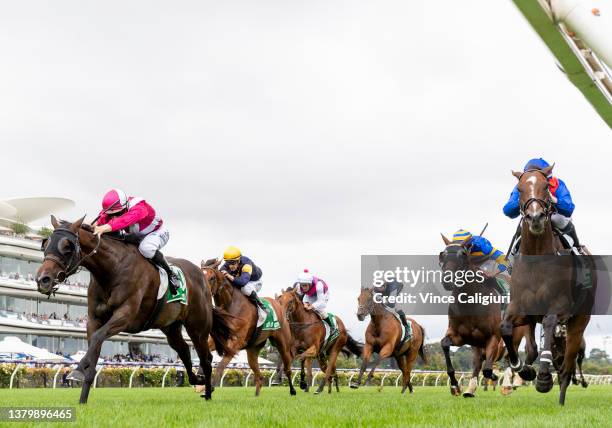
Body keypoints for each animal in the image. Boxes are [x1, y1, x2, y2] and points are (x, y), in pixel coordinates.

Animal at [35, 216, 232, 402]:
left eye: (67, 246)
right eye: (46, 243)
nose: (43, 279)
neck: (112, 268)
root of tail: (202, 275)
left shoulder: (125, 316)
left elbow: (98, 337)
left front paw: (76, 371)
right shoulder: (94, 319)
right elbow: (94, 347)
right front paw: (82, 398)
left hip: (197, 327)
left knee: (206, 358)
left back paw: (207, 393)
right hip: (171, 327)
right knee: (183, 349)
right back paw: (196, 380)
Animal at [201, 256, 296, 396]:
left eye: (212, 278)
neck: (230, 305)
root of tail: (279, 306)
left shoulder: (235, 343)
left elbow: (220, 366)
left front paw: (210, 388)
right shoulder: (217, 339)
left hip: (283, 344)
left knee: (287, 368)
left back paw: (293, 390)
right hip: (253, 349)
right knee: (259, 377)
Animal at [500, 166, 596, 406]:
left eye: (546, 186)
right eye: (519, 189)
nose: (535, 217)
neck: (536, 258)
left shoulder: (558, 305)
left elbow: (550, 324)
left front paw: (543, 378)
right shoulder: (520, 307)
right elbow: (505, 328)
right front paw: (523, 369)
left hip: (579, 323)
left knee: (568, 365)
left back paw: (561, 397)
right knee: (534, 348)